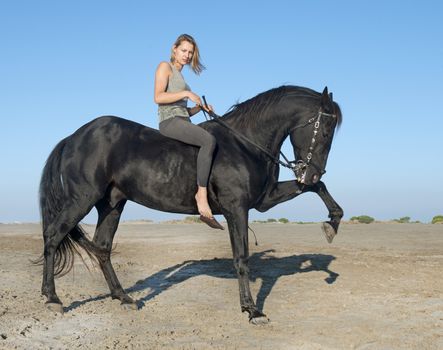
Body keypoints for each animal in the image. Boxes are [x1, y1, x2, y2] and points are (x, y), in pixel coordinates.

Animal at [38, 84, 344, 322]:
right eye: (326, 130)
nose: (312, 171)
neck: (245, 143)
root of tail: (74, 137)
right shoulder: (237, 209)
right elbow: (241, 258)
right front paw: (251, 310)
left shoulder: (265, 200)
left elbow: (318, 189)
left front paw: (332, 223)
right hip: (82, 198)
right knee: (53, 236)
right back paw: (52, 298)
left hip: (111, 204)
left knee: (102, 248)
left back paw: (123, 297)